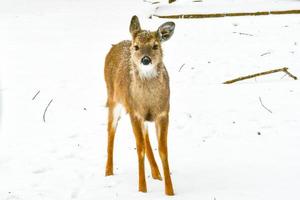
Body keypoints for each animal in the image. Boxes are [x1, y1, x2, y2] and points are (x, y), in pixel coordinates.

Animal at [104, 15, 175, 195]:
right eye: (136, 47)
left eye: (155, 45)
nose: (145, 59)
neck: (148, 101)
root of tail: (115, 46)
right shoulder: (134, 112)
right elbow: (139, 149)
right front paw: (142, 189)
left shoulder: (163, 112)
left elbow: (163, 150)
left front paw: (170, 191)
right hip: (113, 99)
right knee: (111, 131)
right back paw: (108, 172)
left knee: (146, 136)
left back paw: (156, 173)